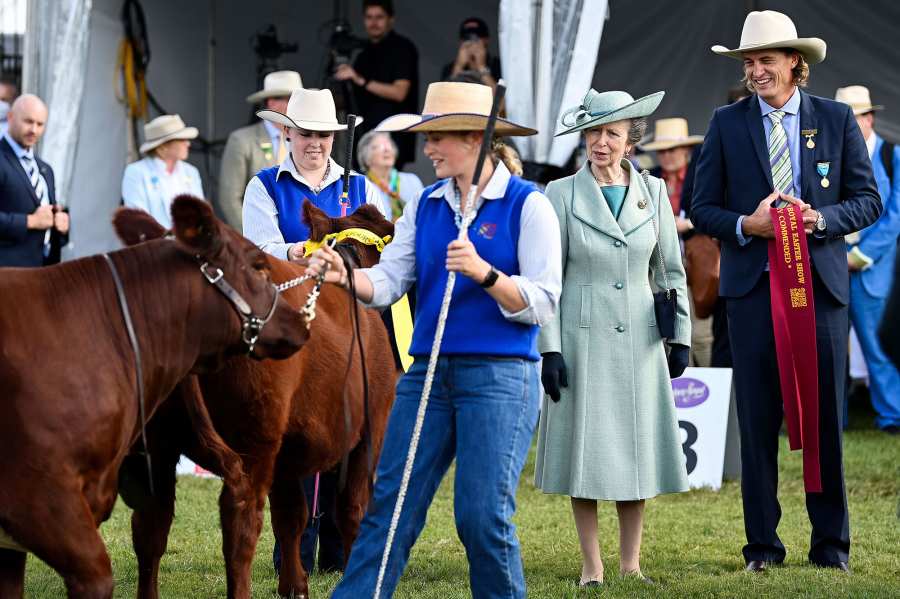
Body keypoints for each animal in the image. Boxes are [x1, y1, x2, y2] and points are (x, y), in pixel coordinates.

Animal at [121, 203, 396, 599]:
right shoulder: (371, 429)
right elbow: (352, 511)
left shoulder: (288, 449)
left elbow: (291, 516)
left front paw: (294, 586)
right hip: (254, 438)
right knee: (241, 525)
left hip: (157, 442)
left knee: (150, 526)